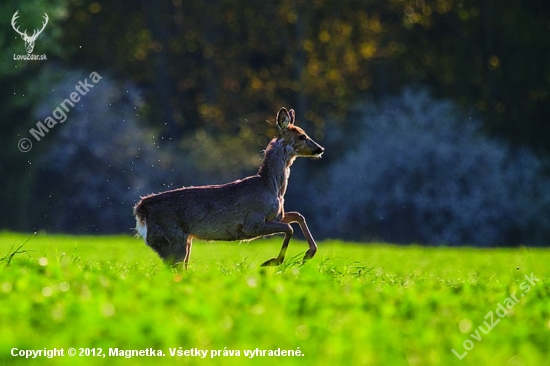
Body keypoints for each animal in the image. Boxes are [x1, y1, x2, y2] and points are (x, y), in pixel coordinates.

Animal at [133, 107, 324, 268]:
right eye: (302, 136)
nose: (320, 148)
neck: (271, 186)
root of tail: (140, 209)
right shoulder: (252, 223)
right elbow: (289, 228)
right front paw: (272, 262)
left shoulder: (276, 216)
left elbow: (298, 216)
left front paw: (309, 254)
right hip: (171, 241)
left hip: (183, 241)